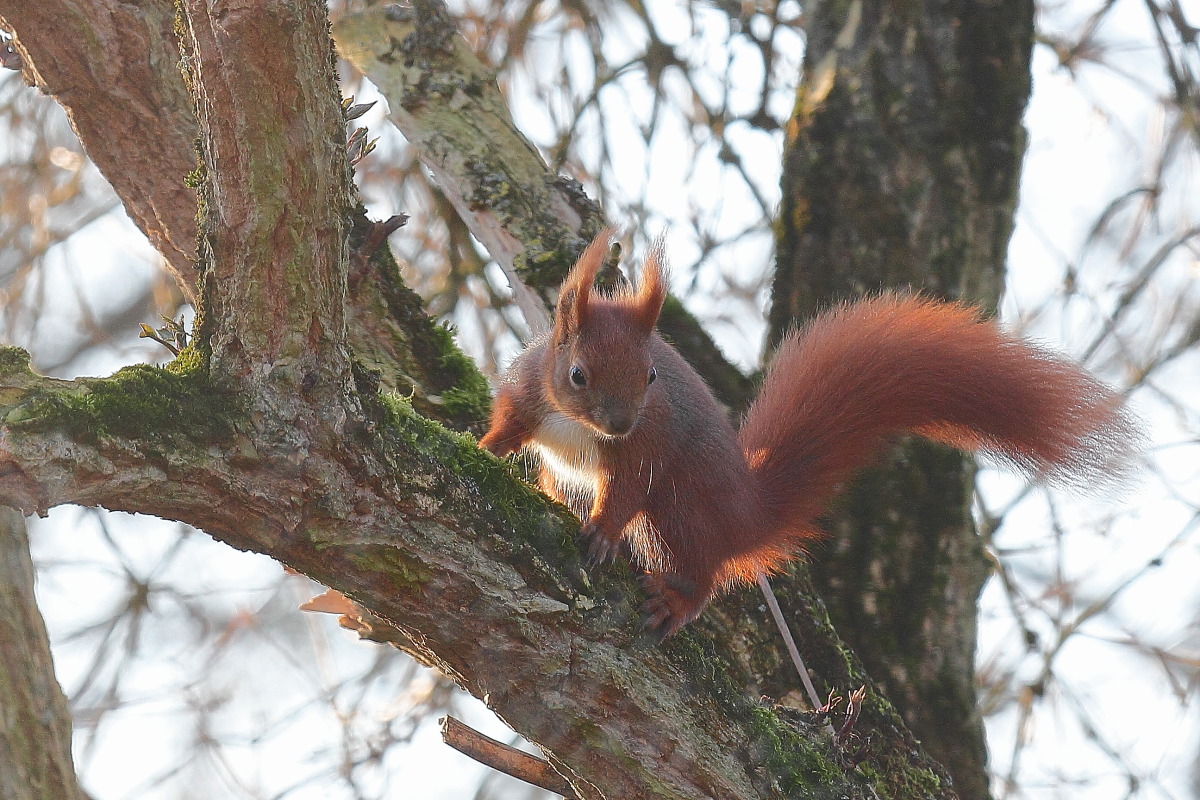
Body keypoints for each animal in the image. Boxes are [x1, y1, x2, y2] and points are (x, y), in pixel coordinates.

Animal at [475, 232, 1132, 638]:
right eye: (578, 374)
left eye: (652, 374)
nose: (620, 421)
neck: (578, 424)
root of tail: (746, 511)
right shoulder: (530, 397)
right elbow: (508, 427)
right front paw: (483, 447)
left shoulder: (644, 451)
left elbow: (626, 491)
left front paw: (604, 537)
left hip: (681, 509)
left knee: (702, 572)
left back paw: (677, 600)